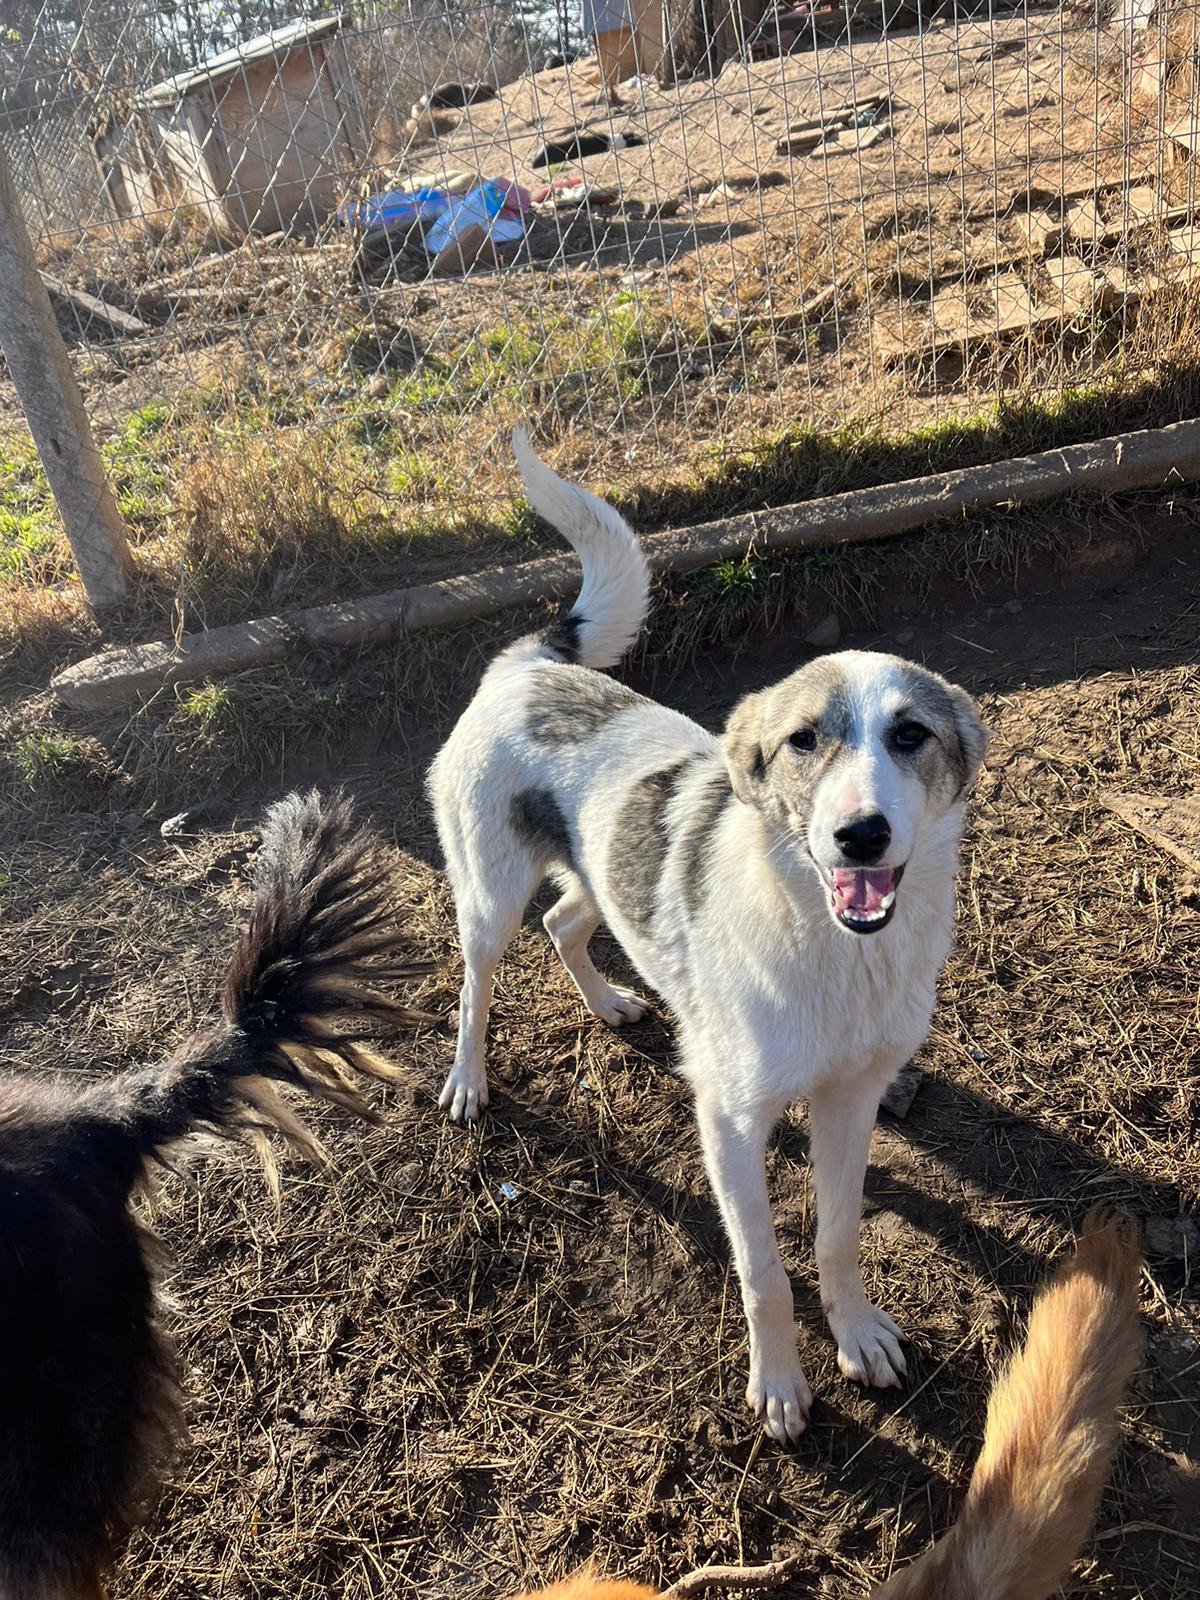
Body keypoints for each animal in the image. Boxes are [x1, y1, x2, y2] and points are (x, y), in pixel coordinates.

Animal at [430, 429, 988, 1442]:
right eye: (804, 740)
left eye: (911, 735)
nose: (861, 834)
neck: (834, 951)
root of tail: (528, 665)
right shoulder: (728, 1123)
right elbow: (764, 1271)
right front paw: (781, 1386)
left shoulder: (851, 1099)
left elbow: (838, 1236)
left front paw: (858, 1336)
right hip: (486, 897)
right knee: (477, 985)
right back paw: (468, 1080)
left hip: (599, 884)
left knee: (566, 923)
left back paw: (613, 1003)